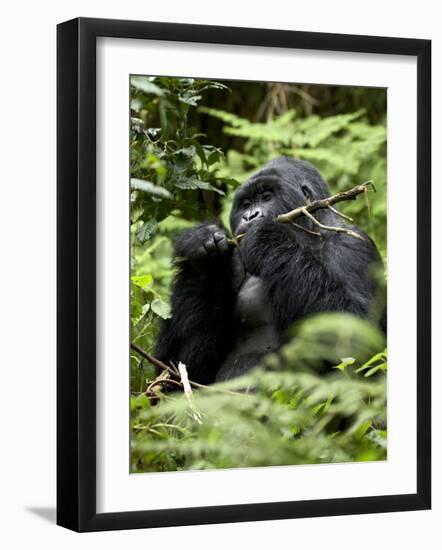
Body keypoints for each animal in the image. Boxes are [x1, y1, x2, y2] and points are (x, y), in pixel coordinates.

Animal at [157, 157, 386, 386]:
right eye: (246, 204)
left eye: (267, 197)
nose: (250, 216)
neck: (309, 236)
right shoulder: (236, 261)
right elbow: (183, 369)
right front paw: (203, 249)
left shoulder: (354, 246)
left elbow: (355, 338)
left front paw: (264, 235)